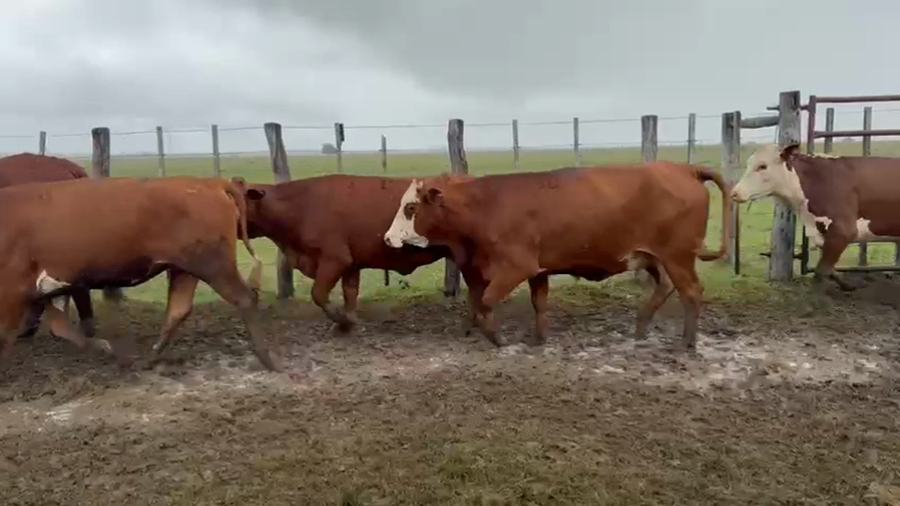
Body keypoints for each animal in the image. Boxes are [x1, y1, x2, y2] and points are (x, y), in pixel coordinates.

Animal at [0, 175, 282, 372]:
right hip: (184, 268)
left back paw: (268, 359)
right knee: (178, 309)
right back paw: (149, 359)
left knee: (245, 297)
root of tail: (208, 182)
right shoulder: (51, 287)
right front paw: (108, 350)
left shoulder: (13, 290)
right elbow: (59, 327)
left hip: (213, 264)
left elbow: (5, 335)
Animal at [239, 174, 484, 333]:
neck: (301, 205)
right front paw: (350, 320)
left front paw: (341, 320)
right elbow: (350, 293)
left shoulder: (334, 259)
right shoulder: (351, 264)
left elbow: (318, 293)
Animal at [383, 163, 731, 351]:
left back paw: (686, 343)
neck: (487, 206)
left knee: (691, 292)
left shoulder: (516, 266)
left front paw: (496, 337)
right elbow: (538, 303)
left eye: (411, 207)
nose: (387, 237)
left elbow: (486, 301)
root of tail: (684, 168)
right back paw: (641, 329)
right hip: (652, 257)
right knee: (664, 288)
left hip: (677, 257)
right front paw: (539, 338)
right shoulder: (538, 270)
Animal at [731, 142, 900, 290]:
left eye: (762, 166)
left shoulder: (842, 232)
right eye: (748, 164)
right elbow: (829, 269)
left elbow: (821, 271)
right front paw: (849, 285)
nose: (734, 193)